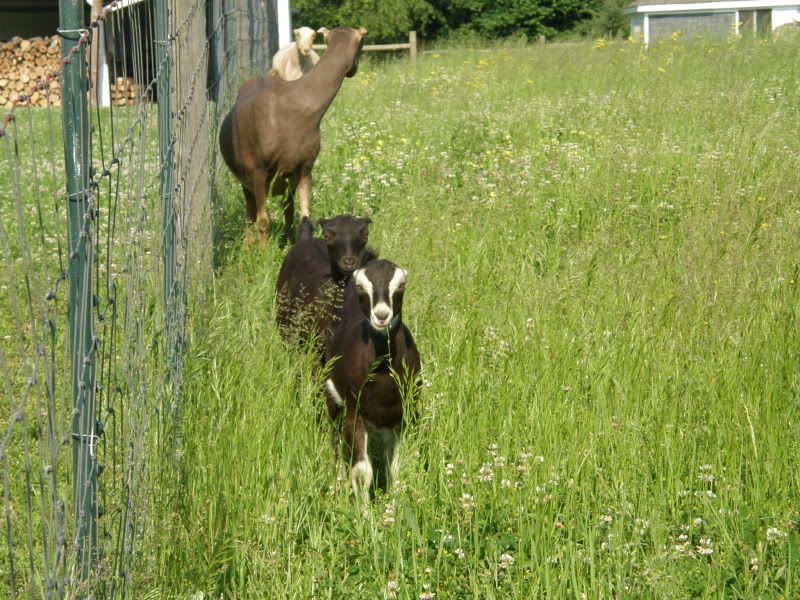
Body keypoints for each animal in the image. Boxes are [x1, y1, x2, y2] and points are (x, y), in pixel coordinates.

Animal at [323, 259, 421, 505]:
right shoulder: (354, 413)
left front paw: (396, 504)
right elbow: (361, 472)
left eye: (401, 285)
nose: (381, 315)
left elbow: (395, 466)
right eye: (361, 286)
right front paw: (365, 513)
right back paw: (338, 483)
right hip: (332, 402)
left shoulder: (400, 417)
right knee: (335, 442)